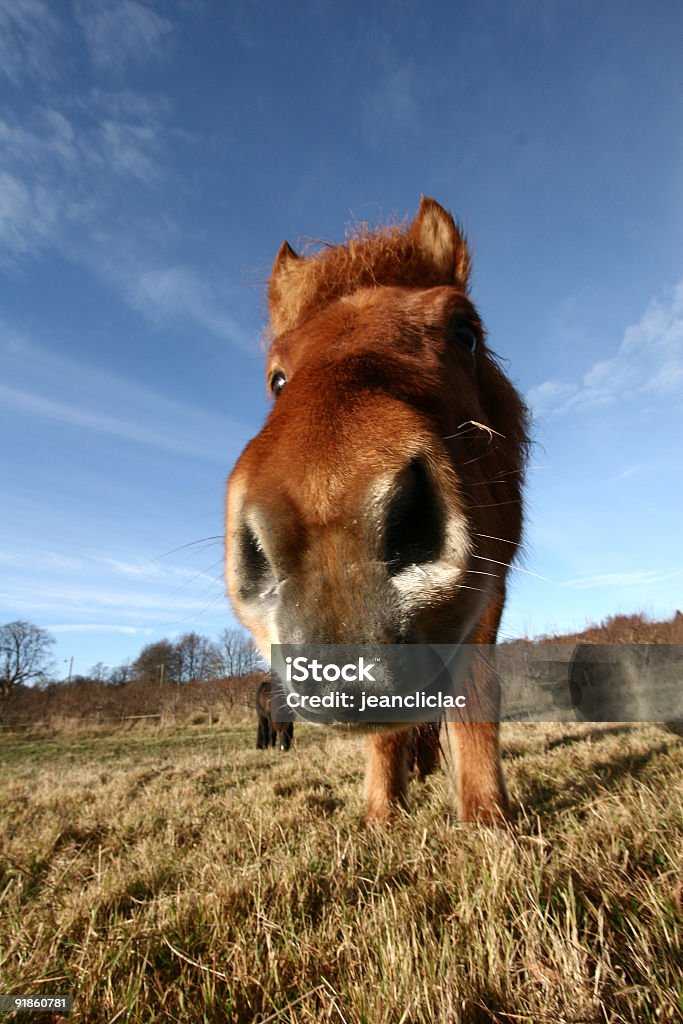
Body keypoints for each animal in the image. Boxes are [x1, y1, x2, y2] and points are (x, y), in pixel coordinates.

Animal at [227, 197, 532, 823]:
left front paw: (488, 820)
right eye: (277, 378)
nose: (328, 523)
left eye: (464, 331)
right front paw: (380, 814)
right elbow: (387, 730)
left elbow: (476, 694)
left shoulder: (489, 589)